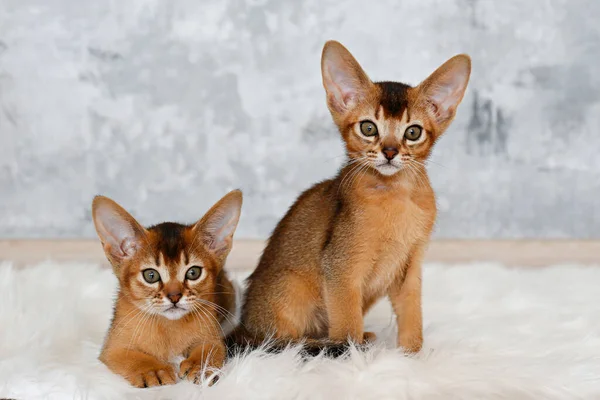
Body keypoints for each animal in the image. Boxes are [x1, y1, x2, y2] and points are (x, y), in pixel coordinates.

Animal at [92, 191, 243, 388]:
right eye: (151, 275)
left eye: (193, 272)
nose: (174, 296)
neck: (168, 328)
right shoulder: (112, 348)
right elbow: (132, 357)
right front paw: (153, 371)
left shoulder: (213, 338)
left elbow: (210, 349)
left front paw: (200, 366)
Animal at [237, 40, 472, 354]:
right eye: (368, 127)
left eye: (413, 132)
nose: (389, 151)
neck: (396, 196)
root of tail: (242, 327)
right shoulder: (341, 266)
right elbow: (347, 323)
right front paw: (351, 355)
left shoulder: (410, 268)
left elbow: (413, 316)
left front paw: (413, 355)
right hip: (289, 289)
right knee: (283, 342)